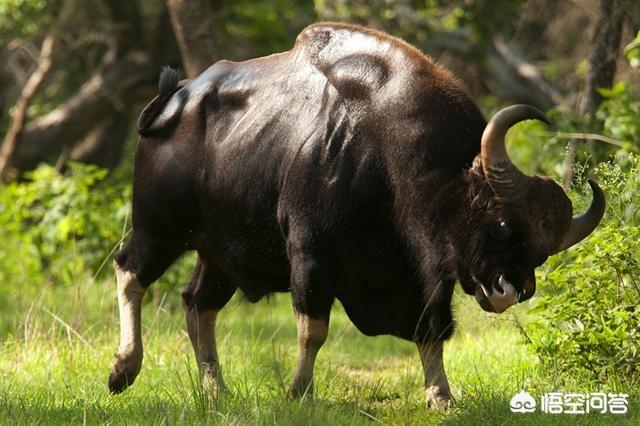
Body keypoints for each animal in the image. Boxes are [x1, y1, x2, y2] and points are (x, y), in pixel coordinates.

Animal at [107, 22, 604, 406]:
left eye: (539, 253)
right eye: (501, 224)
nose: (510, 291)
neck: (388, 153)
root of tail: (172, 100)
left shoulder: (427, 271)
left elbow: (432, 328)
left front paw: (440, 395)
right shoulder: (311, 255)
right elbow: (313, 329)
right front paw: (299, 392)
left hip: (218, 252)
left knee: (197, 303)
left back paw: (216, 390)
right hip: (159, 227)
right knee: (129, 270)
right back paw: (124, 370)